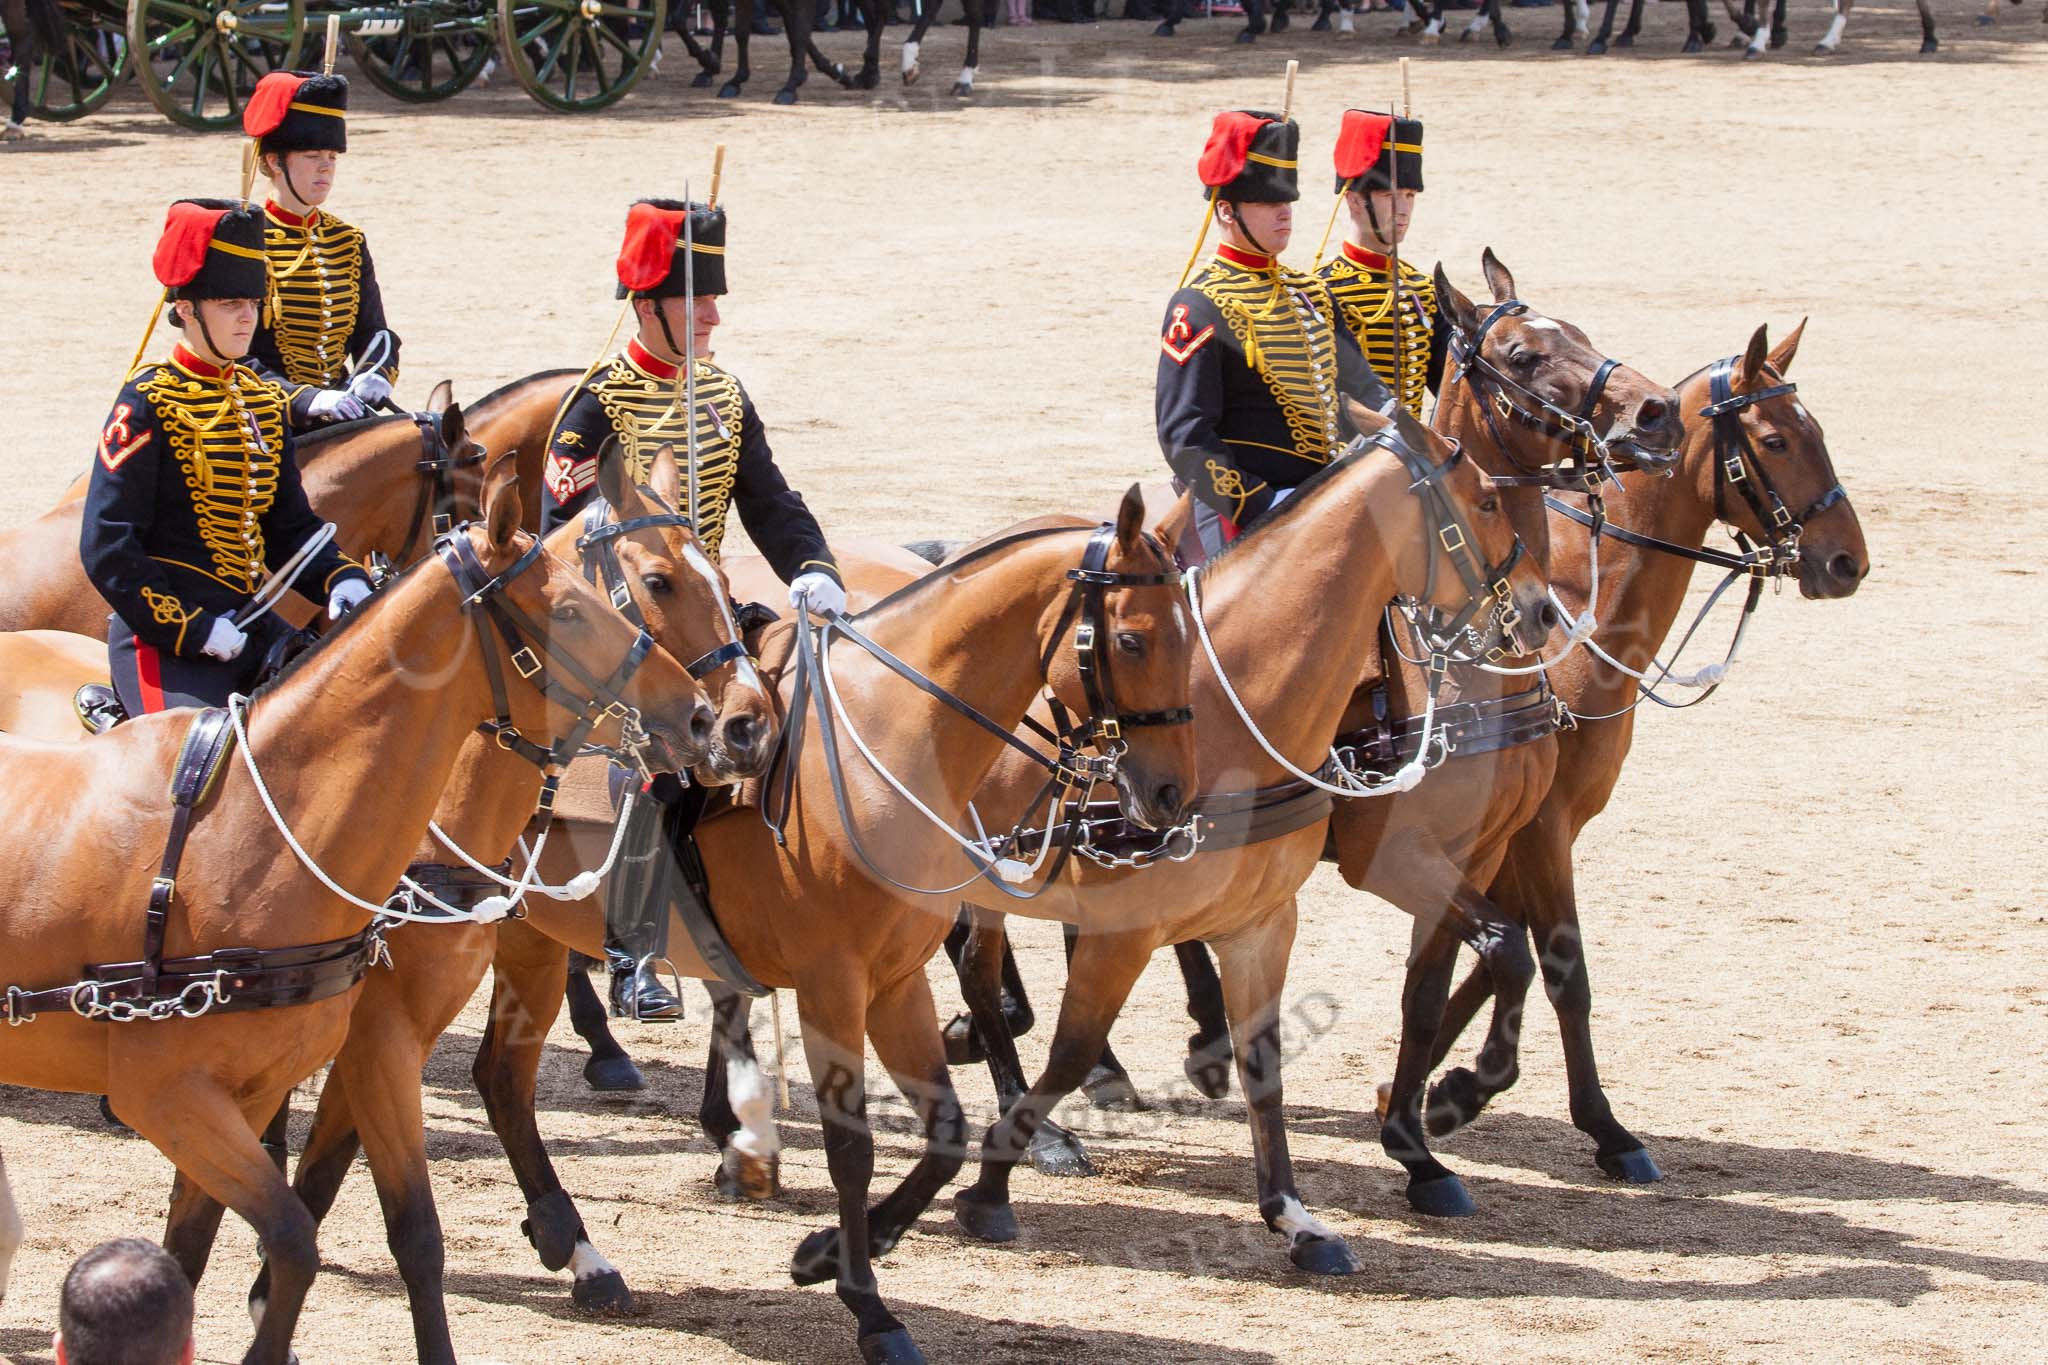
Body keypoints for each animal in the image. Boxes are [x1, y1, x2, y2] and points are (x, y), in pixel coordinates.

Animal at [0, 455, 715, 1365]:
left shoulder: (374, 1033)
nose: (720, 717)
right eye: (649, 583)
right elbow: (329, 1210)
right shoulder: (347, 1040)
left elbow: (350, 1205)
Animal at [478, 485, 1201, 1359]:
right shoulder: (833, 986)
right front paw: (870, 1306)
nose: (1171, 794)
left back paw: (581, 1246)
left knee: (500, 1079)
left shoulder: (895, 982)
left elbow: (947, 1130)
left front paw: (830, 1250)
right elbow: (852, 1148)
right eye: (1131, 638)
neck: (889, 740)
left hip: (530, 937)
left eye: (1191, 632)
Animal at [1389, 321, 1868, 1183]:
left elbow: (1489, 957)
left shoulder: (1532, 830)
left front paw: (1439, 1088)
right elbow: (1562, 968)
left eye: (1815, 430)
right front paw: (1595, 1121)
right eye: (1776, 439)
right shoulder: (1539, 827)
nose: (1848, 559)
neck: (1580, 622)